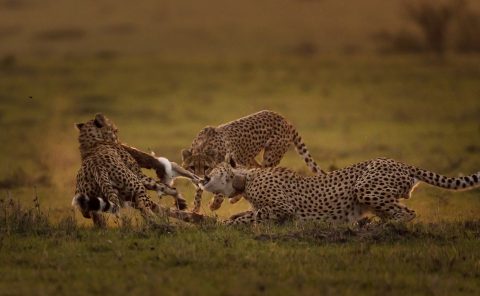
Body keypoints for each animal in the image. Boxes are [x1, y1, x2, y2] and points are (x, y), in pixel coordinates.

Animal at [71, 113, 199, 224]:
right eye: (115, 130)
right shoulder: (140, 176)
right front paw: (180, 200)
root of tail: (98, 169)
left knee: (99, 221)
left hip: (91, 205)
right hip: (137, 187)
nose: (119, 140)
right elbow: (165, 187)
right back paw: (162, 225)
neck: (92, 143)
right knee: (145, 209)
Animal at [182, 109, 324, 213]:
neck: (203, 146)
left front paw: (214, 205)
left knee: (257, 172)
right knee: (251, 170)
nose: (199, 178)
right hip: (249, 158)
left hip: (270, 156)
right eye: (192, 167)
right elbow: (199, 192)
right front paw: (195, 208)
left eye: (206, 167)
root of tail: (282, 117)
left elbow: (220, 190)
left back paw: (235, 198)